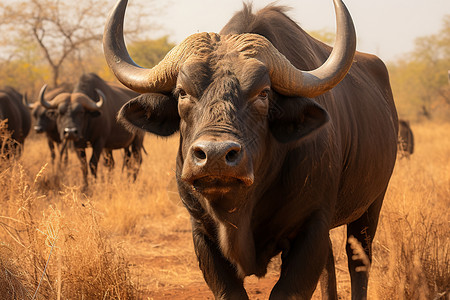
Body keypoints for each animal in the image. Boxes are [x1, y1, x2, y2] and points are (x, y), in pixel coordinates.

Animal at [103, 0, 400, 298]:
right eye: (183, 92)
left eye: (263, 93)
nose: (215, 156)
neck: (240, 211)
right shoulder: (202, 234)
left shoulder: (312, 227)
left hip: (371, 208)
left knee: (358, 262)